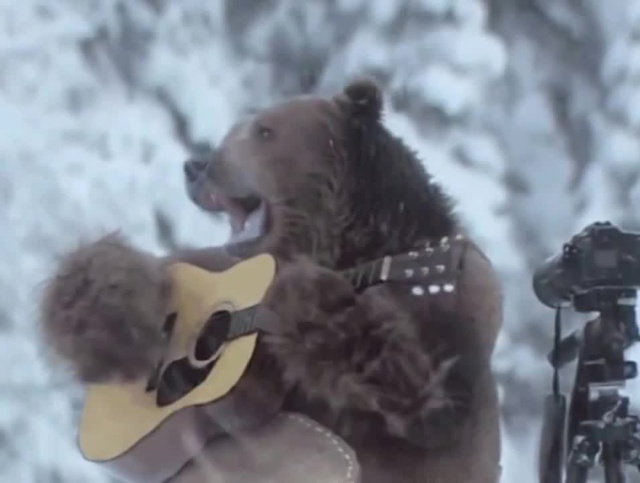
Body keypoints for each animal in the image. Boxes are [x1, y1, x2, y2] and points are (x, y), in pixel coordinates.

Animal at [39, 79, 503, 483]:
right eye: (238, 129)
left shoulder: (453, 318)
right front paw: (124, 314)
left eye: (265, 130)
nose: (196, 166)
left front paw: (306, 300)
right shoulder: (218, 264)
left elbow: (430, 409)